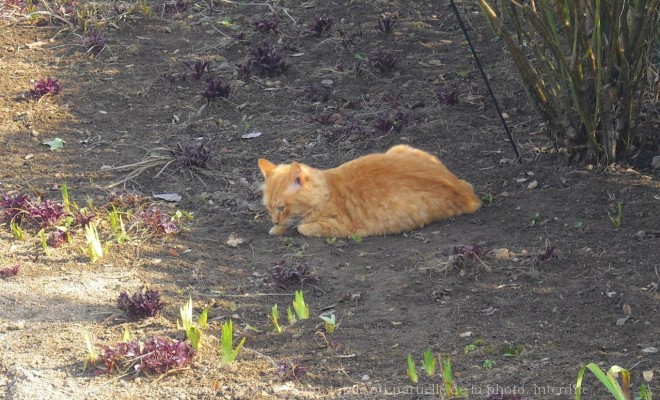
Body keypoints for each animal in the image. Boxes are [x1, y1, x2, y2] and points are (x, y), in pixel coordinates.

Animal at [258, 144, 480, 238]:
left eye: (282, 207)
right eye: (268, 209)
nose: (274, 220)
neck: (327, 191)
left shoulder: (344, 227)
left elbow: (302, 227)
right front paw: (277, 228)